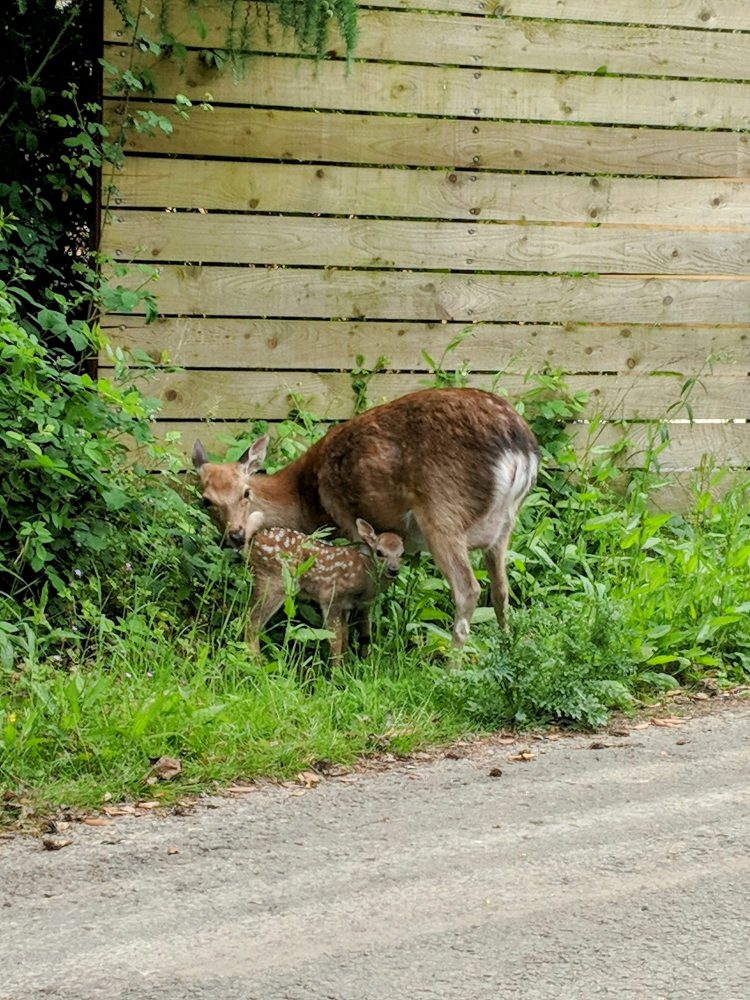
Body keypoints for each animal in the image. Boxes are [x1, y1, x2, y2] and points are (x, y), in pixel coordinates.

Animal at [244, 519, 404, 658]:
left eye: (402, 553)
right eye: (379, 552)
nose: (393, 569)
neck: (363, 577)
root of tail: (255, 539)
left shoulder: (351, 606)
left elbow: (348, 635)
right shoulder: (330, 596)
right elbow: (336, 637)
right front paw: (336, 671)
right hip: (275, 581)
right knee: (252, 622)